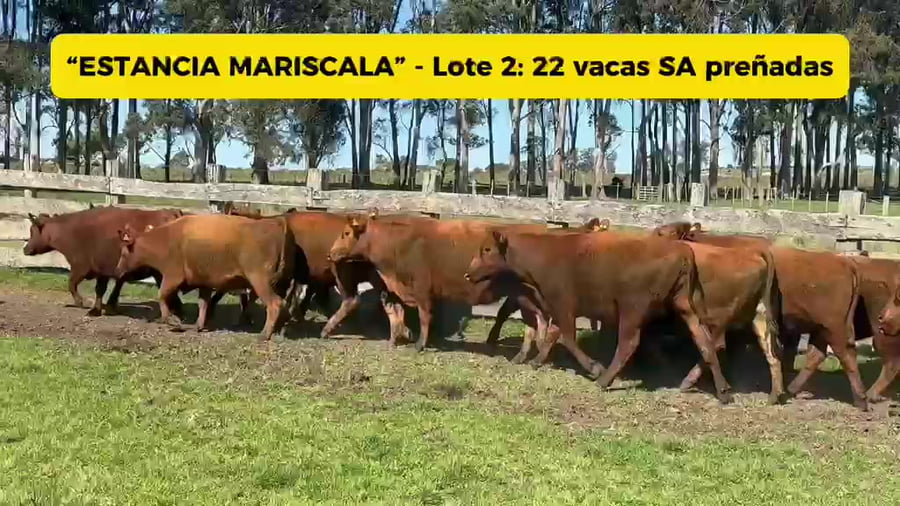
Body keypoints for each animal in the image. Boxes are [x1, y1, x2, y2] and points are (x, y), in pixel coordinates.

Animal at [23, 206, 185, 317]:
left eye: (32, 231)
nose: (25, 249)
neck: (73, 232)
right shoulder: (102, 271)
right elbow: (100, 289)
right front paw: (97, 308)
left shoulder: (81, 268)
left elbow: (72, 284)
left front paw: (83, 304)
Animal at [114, 213, 298, 341]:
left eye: (123, 253)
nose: (117, 270)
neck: (165, 239)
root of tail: (275, 223)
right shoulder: (205, 284)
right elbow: (203, 303)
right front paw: (198, 326)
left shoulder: (172, 277)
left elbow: (162, 295)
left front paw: (171, 320)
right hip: (279, 284)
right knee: (283, 304)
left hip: (259, 281)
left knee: (274, 304)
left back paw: (264, 334)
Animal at [464, 229, 734, 404]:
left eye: (487, 249)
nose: (468, 274)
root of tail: (683, 250)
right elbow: (553, 334)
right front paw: (537, 360)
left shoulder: (564, 304)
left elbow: (567, 337)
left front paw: (593, 367)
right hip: (687, 307)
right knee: (705, 342)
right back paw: (722, 390)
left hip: (632, 308)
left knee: (629, 343)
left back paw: (604, 379)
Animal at [654, 221, 869, 411]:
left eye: (664, 233)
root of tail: (845, 263)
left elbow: (713, 346)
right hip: (820, 329)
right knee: (816, 355)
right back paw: (789, 390)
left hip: (834, 327)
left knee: (846, 355)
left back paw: (861, 400)